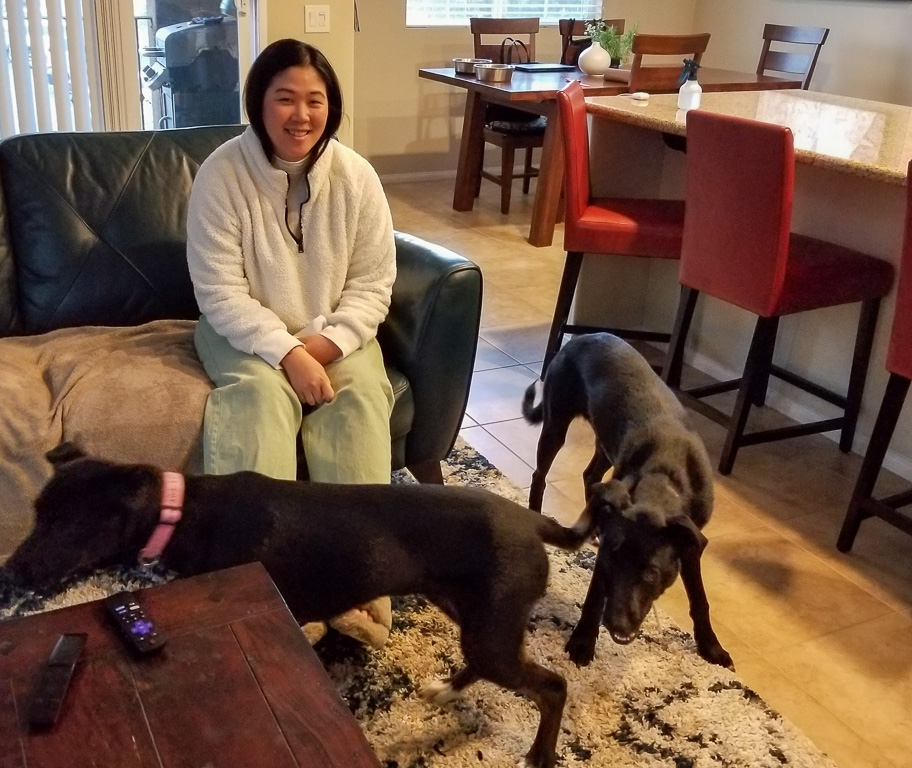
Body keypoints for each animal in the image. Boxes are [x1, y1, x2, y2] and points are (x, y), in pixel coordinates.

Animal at [5, 444, 604, 768]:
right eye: (37, 512)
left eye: (66, 524)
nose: (10, 572)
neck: (181, 511)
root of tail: (537, 522)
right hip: (470, 612)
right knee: (488, 664)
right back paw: (444, 690)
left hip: (491, 624)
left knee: (552, 687)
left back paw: (540, 753)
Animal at [524, 332, 732, 668]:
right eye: (611, 564)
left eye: (651, 574)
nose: (616, 626)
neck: (665, 477)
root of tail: (582, 336)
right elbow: (595, 595)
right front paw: (582, 642)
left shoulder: (690, 543)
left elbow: (699, 599)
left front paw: (711, 647)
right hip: (556, 423)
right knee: (540, 476)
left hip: (605, 444)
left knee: (590, 475)